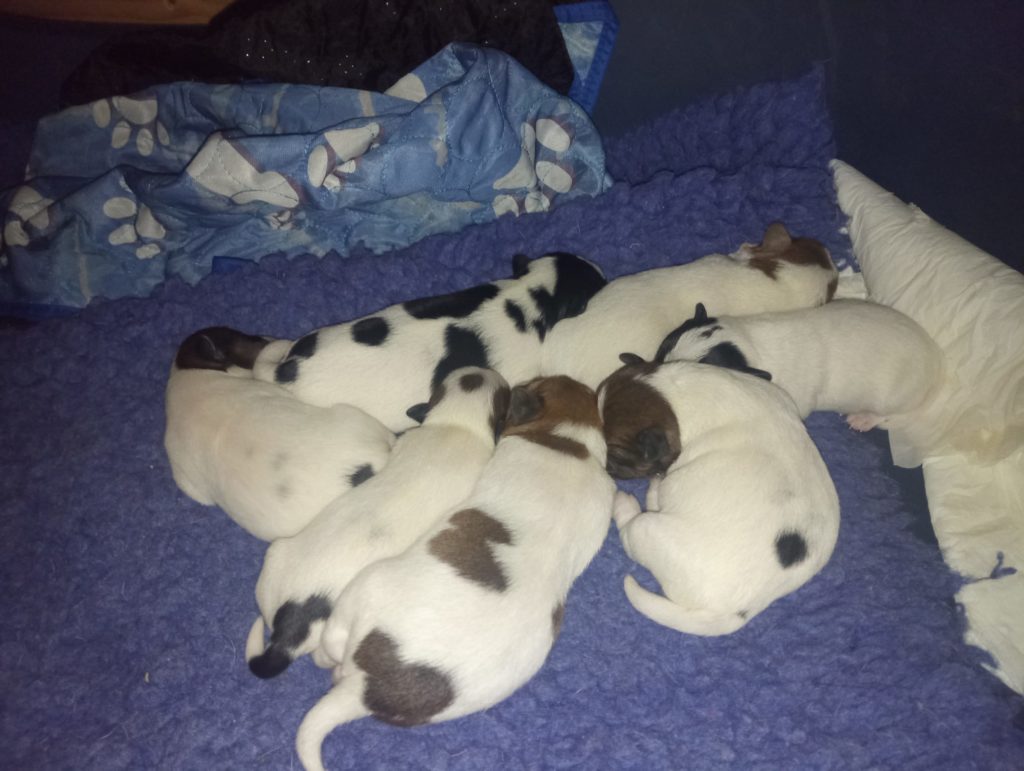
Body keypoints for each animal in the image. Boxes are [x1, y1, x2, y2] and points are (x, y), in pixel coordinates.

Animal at [598, 354, 840, 636]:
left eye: (615, 457)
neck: (673, 393)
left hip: (647, 529)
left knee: (632, 529)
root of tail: (738, 612)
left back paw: (628, 502)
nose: (601, 465)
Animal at [656, 299, 944, 430]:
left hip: (893, 396)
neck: (747, 341)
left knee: (888, 414)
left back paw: (863, 418)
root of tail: (935, 362)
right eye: (662, 348)